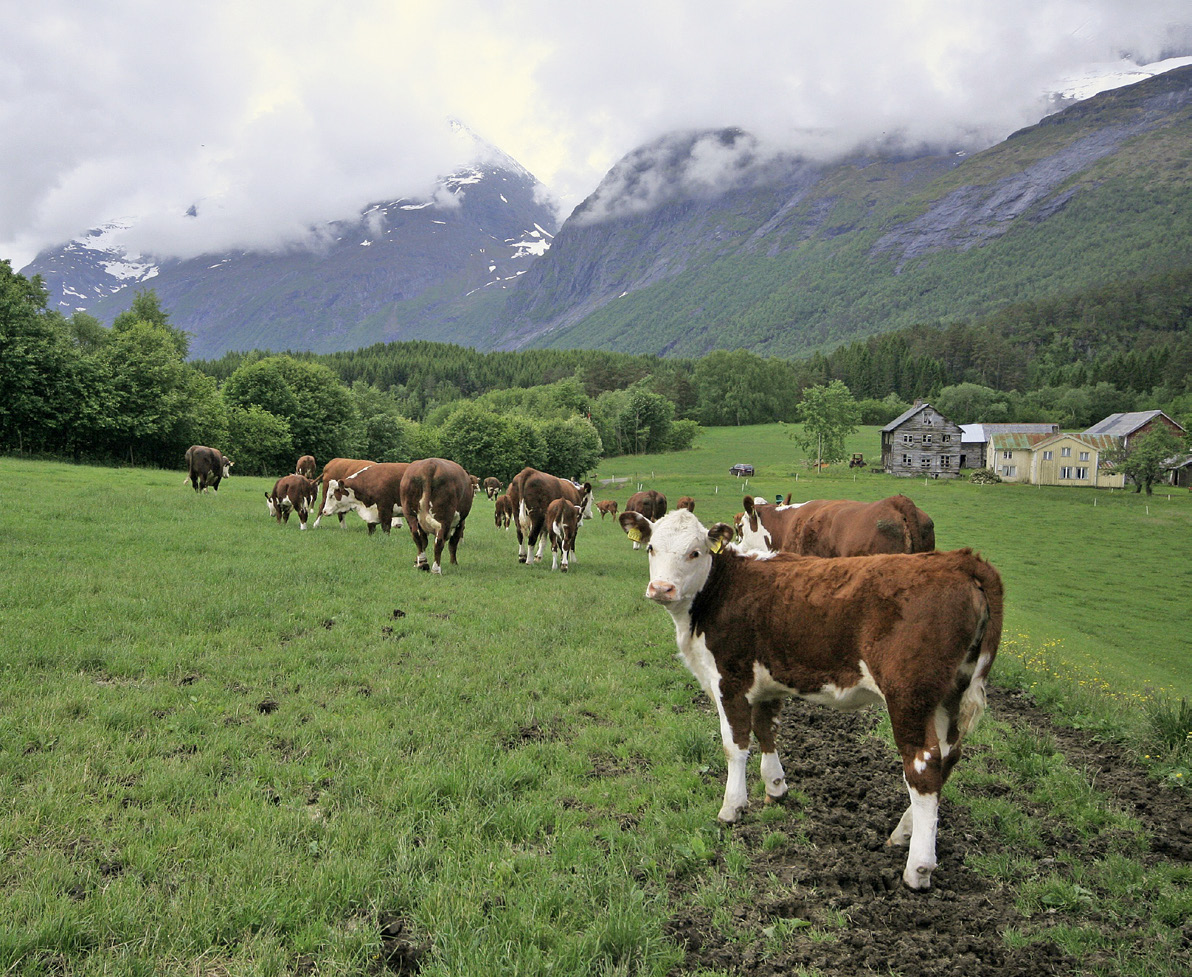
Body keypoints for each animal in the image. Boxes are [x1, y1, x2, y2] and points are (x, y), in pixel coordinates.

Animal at [619, 507, 1001, 891]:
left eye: (695, 552)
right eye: (651, 547)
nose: (661, 588)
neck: (721, 589)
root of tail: (958, 561)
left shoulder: (729, 679)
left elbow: (735, 744)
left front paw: (733, 807)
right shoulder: (766, 681)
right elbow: (766, 729)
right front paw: (775, 787)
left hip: (909, 697)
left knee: (923, 767)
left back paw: (918, 867)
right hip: (948, 695)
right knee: (947, 758)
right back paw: (902, 832)